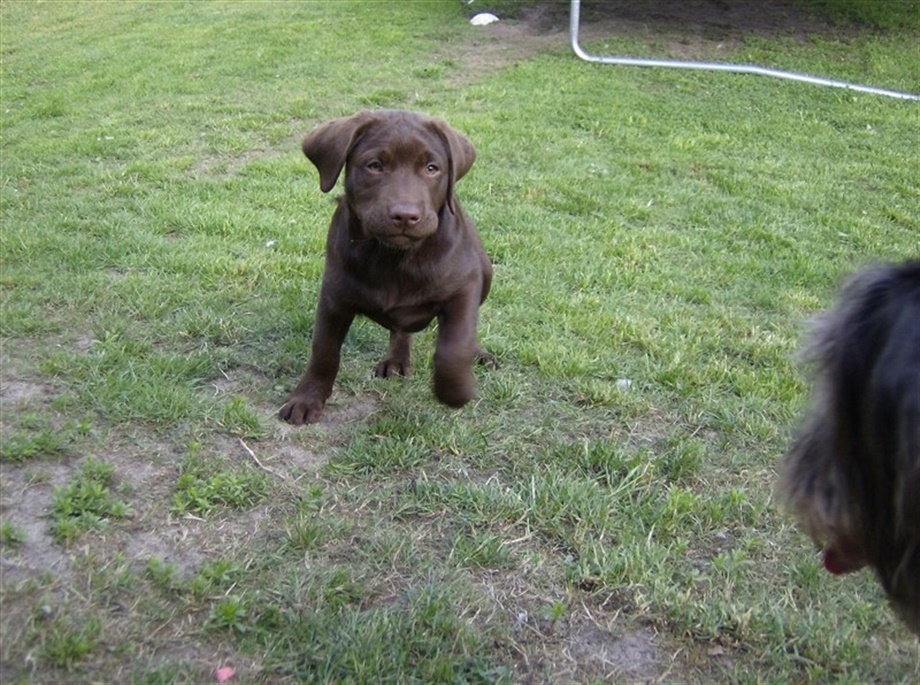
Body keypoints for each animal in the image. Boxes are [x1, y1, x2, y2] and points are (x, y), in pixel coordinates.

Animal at [279, 110, 496, 425]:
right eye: (375, 166)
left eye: (432, 168)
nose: (405, 215)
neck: (394, 256)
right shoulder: (334, 297)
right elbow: (324, 351)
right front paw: (306, 399)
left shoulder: (464, 286)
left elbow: (455, 346)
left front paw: (455, 390)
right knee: (400, 330)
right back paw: (396, 358)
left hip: (486, 271)